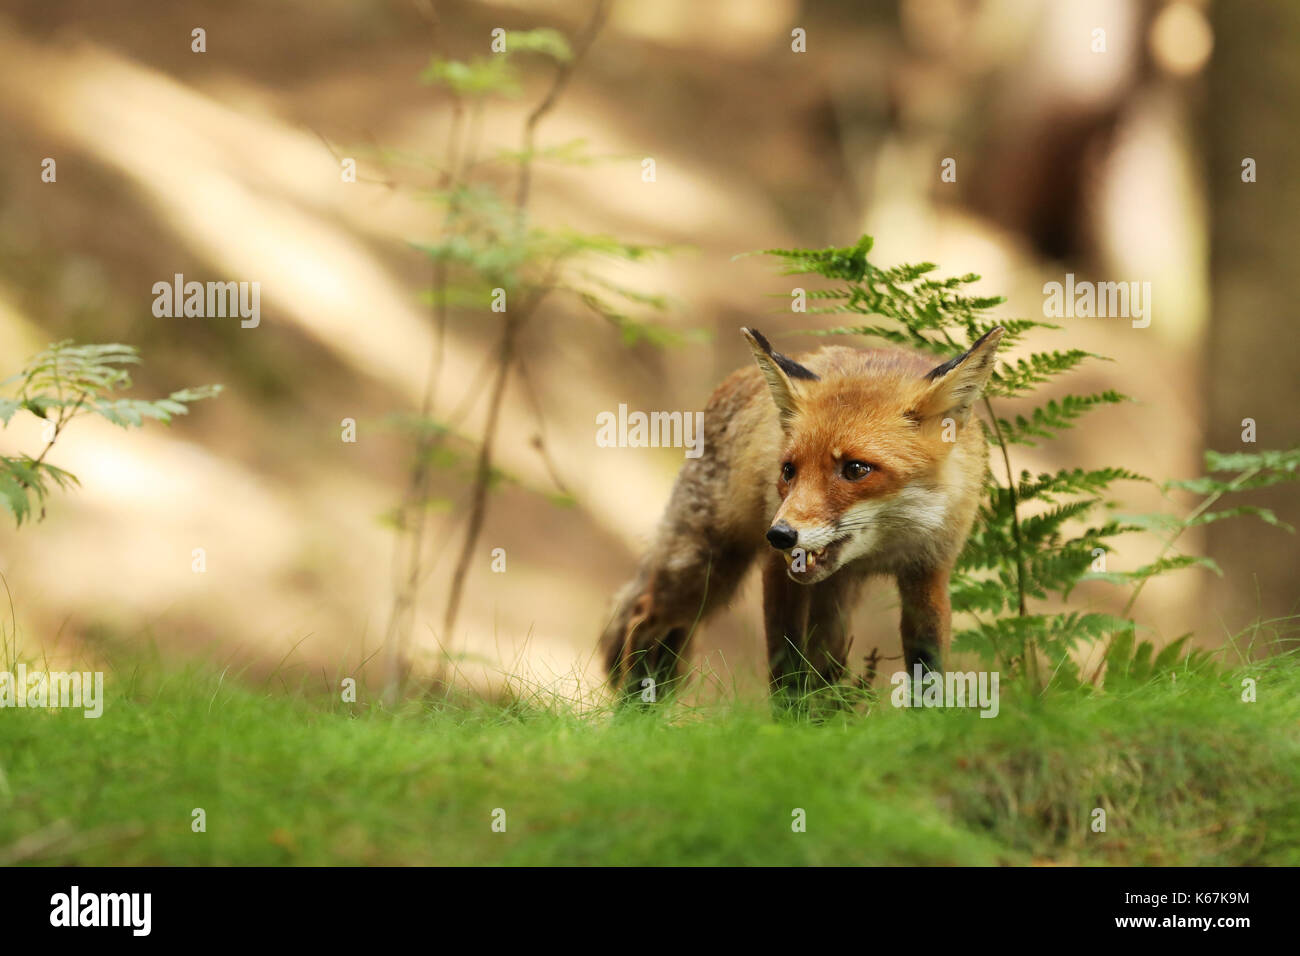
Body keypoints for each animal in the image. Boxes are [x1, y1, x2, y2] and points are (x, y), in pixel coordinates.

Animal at [598, 325, 1003, 697]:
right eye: (788, 471)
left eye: (856, 469)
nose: (779, 535)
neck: (886, 546)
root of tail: (733, 381)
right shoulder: (779, 571)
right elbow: (786, 668)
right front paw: (787, 725)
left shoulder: (929, 573)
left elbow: (929, 674)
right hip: (704, 571)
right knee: (643, 618)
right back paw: (633, 716)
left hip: (830, 597)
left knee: (826, 666)